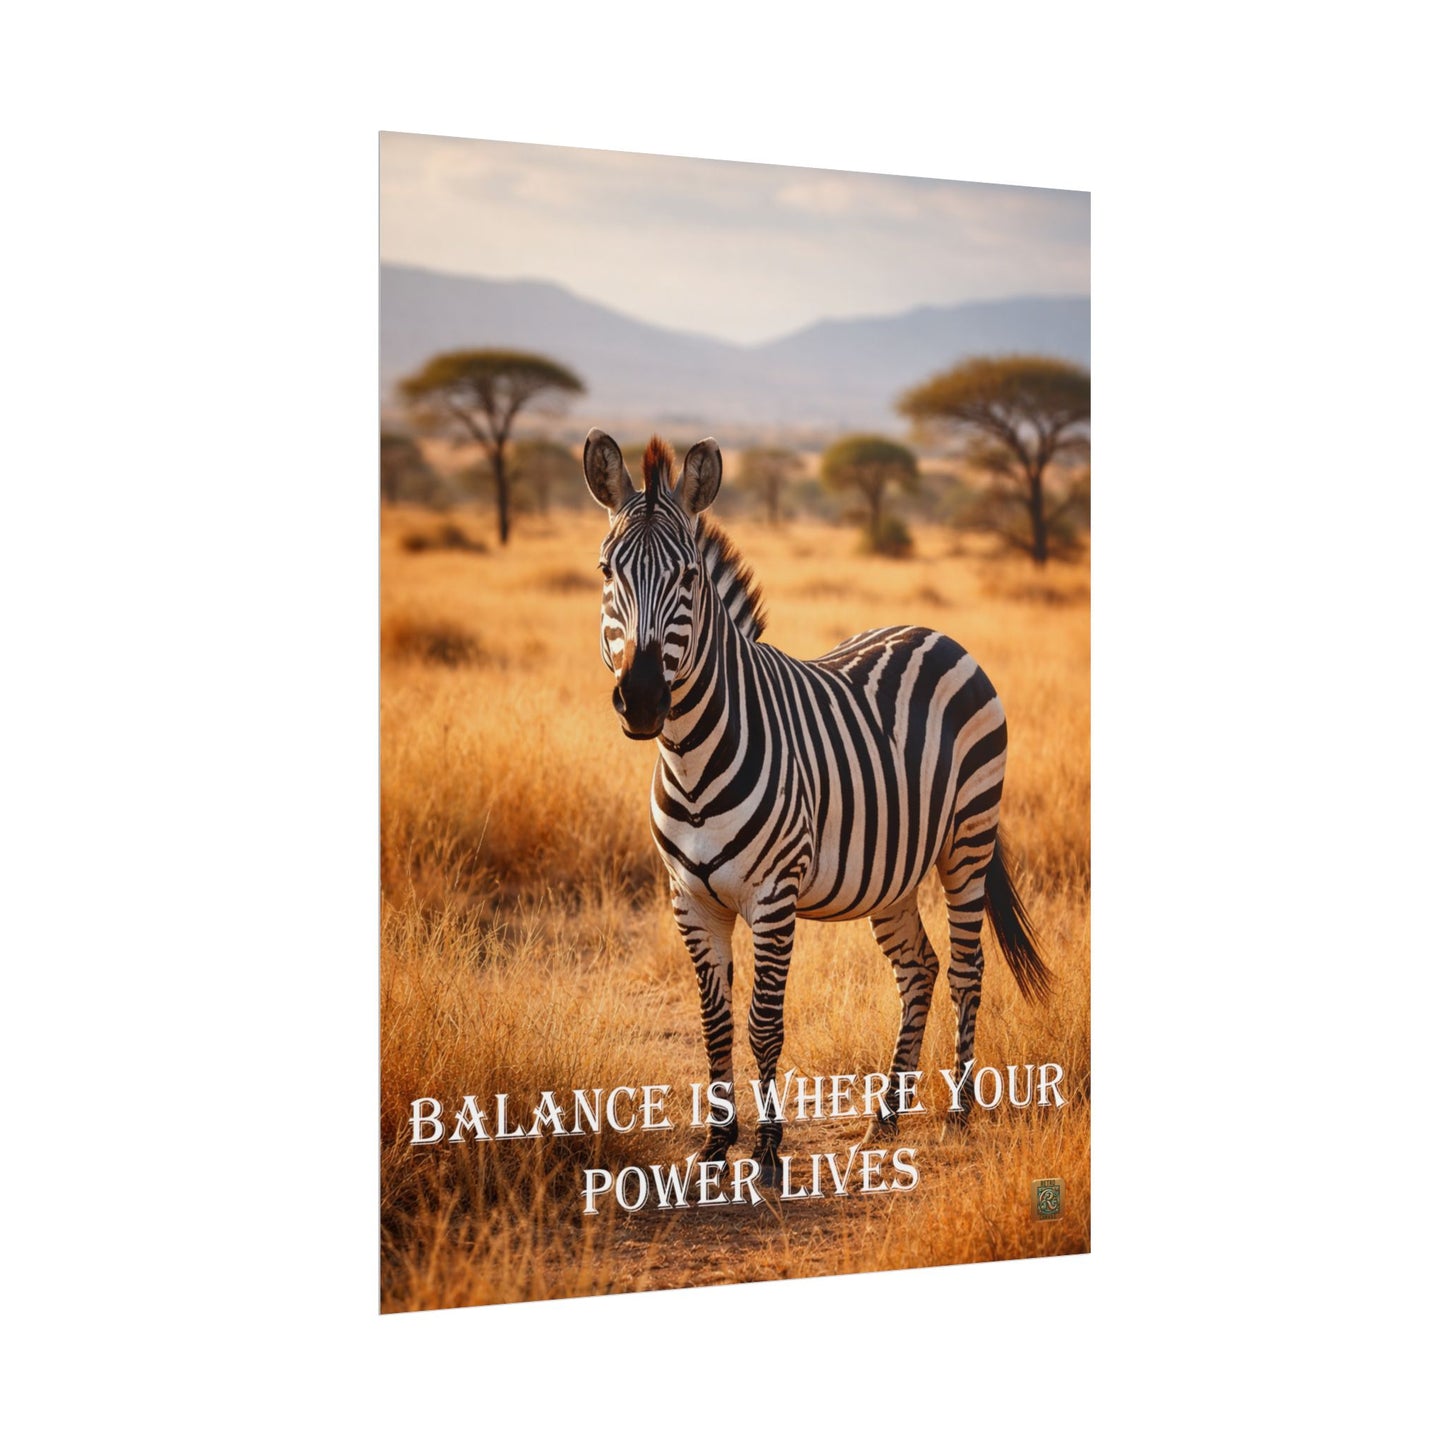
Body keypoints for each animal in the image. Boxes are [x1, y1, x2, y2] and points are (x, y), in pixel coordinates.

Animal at [583, 428, 1050, 1180]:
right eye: (605, 571)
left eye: (688, 578)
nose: (644, 699)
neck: (689, 757)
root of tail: (932, 631)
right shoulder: (689, 898)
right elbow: (714, 1021)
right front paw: (715, 1144)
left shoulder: (773, 895)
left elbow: (763, 1022)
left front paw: (769, 1149)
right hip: (892, 872)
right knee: (918, 968)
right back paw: (885, 1117)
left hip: (968, 840)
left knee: (966, 968)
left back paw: (957, 1113)